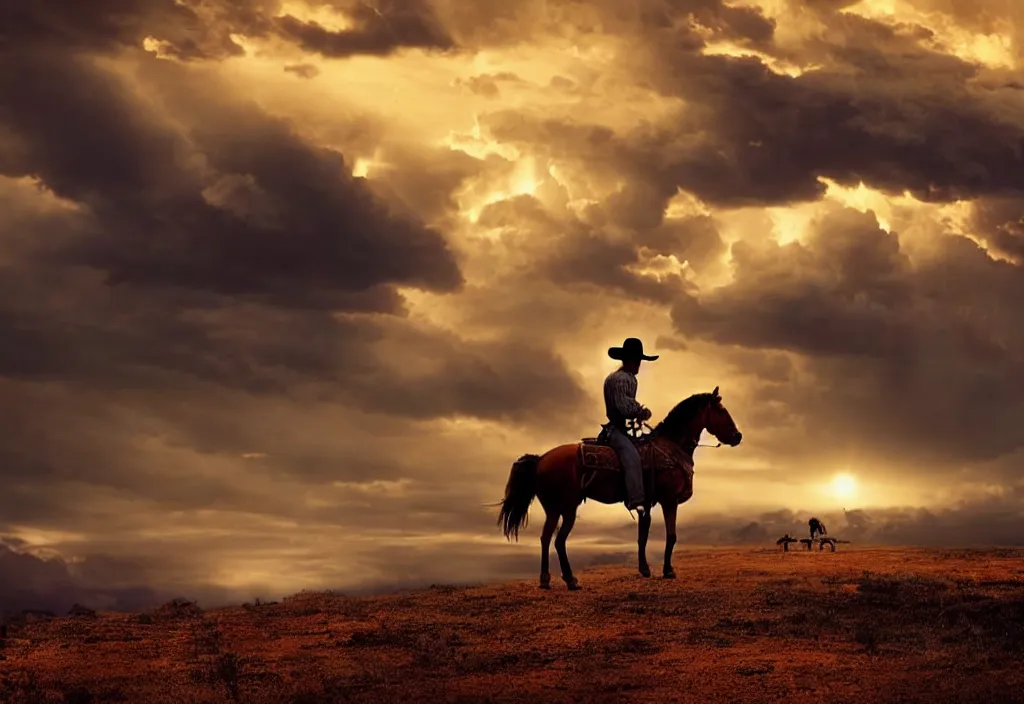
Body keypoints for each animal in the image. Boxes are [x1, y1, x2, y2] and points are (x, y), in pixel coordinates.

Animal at [493, 386, 741, 589]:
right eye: (721, 411)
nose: (738, 436)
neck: (672, 447)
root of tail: (541, 459)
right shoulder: (669, 500)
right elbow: (671, 535)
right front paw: (668, 571)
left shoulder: (647, 504)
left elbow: (643, 535)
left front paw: (645, 569)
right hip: (568, 508)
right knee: (559, 540)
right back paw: (571, 580)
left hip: (553, 509)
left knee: (545, 538)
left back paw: (545, 580)